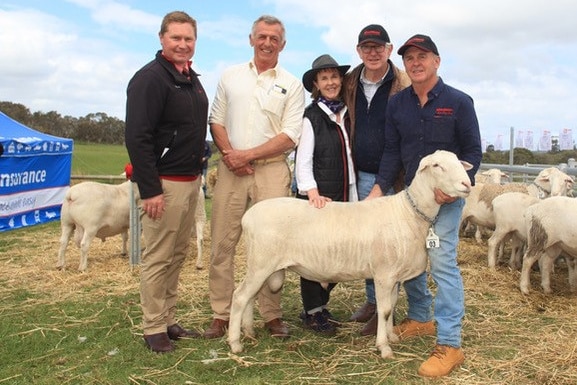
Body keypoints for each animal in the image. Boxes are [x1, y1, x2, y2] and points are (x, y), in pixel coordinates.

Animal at [226, 149, 472, 356]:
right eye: (437, 165)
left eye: (458, 162)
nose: (467, 184)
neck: (409, 212)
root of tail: (248, 216)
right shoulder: (384, 275)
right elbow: (384, 310)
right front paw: (383, 347)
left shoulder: (394, 277)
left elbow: (391, 307)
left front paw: (391, 336)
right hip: (261, 263)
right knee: (239, 296)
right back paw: (235, 342)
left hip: (261, 265)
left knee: (250, 296)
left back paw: (249, 331)